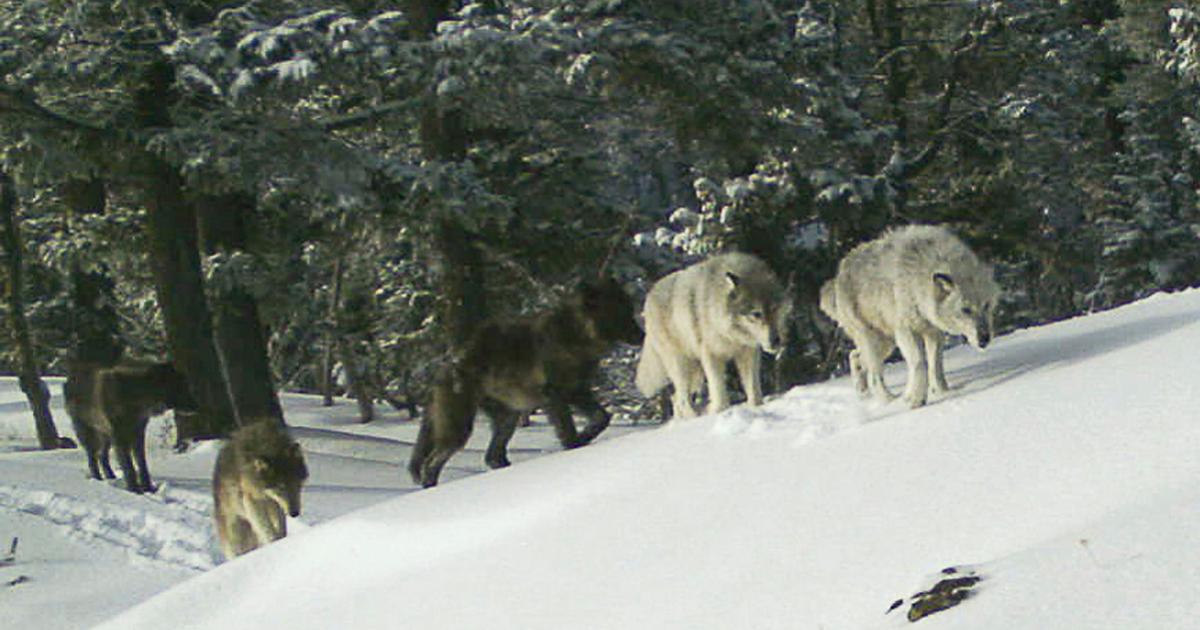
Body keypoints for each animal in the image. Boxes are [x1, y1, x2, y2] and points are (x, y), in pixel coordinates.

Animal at [63, 359, 197, 493]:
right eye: (180, 386)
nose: (196, 407)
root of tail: (69, 379)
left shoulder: (138, 432)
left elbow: (141, 463)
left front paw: (148, 488)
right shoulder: (119, 436)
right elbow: (128, 465)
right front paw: (134, 489)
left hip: (106, 435)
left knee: (102, 456)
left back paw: (111, 477)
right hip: (88, 432)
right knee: (93, 457)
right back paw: (98, 479)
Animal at [212, 419, 309, 560]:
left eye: (297, 485)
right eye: (280, 487)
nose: (294, 513)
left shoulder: (277, 506)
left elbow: (280, 528)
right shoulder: (252, 502)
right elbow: (267, 529)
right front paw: (274, 542)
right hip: (235, 533)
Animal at [408, 277, 643, 488]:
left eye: (630, 310)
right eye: (621, 313)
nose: (643, 335)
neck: (576, 335)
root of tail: (442, 369)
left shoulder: (577, 390)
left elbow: (602, 417)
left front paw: (585, 437)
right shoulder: (554, 394)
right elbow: (568, 429)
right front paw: (574, 446)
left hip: (507, 418)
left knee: (492, 457)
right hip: (459, 428)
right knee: (431, 464)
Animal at [636, 252, 792, 419]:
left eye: (774, 308)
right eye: (756, 314)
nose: (776, 341)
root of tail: (649, 296)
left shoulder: (748, 353)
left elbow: (753, 391)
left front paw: (757, 408)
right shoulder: (712, 356)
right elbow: (719, 392)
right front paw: (719, 412)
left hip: (696, 374)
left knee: (676, 399)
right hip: (682, 366)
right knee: (682, 400)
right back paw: (696, 418)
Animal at [822, 224, 1000, 408]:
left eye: (986, 305)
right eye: (965, 309)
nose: (984, 338)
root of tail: (838, 275)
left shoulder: (933, 332)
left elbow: (935, 364)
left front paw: (942, 391)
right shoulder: (908, 331)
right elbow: (919, 363)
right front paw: (915, 399)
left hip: (887, 343)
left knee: (855, 356)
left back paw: (863, 393)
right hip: (876, 342)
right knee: (874, 375)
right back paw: (890, 401)